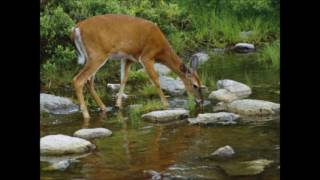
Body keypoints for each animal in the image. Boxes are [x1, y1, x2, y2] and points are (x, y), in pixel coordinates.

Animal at [71, 14, 204, 119]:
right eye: (195, 85)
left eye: (201, 84)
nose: (201, 101)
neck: (161, 51)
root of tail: (76, 29)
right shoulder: (146, 57)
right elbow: (155, 80)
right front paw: (166, 104)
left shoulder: (128, 58)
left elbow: (123, 79)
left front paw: (118, 105)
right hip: (97, 54)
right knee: (78, 80)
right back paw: (86, 115)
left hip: (91, 57)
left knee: (89, 81)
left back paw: (104, 108)